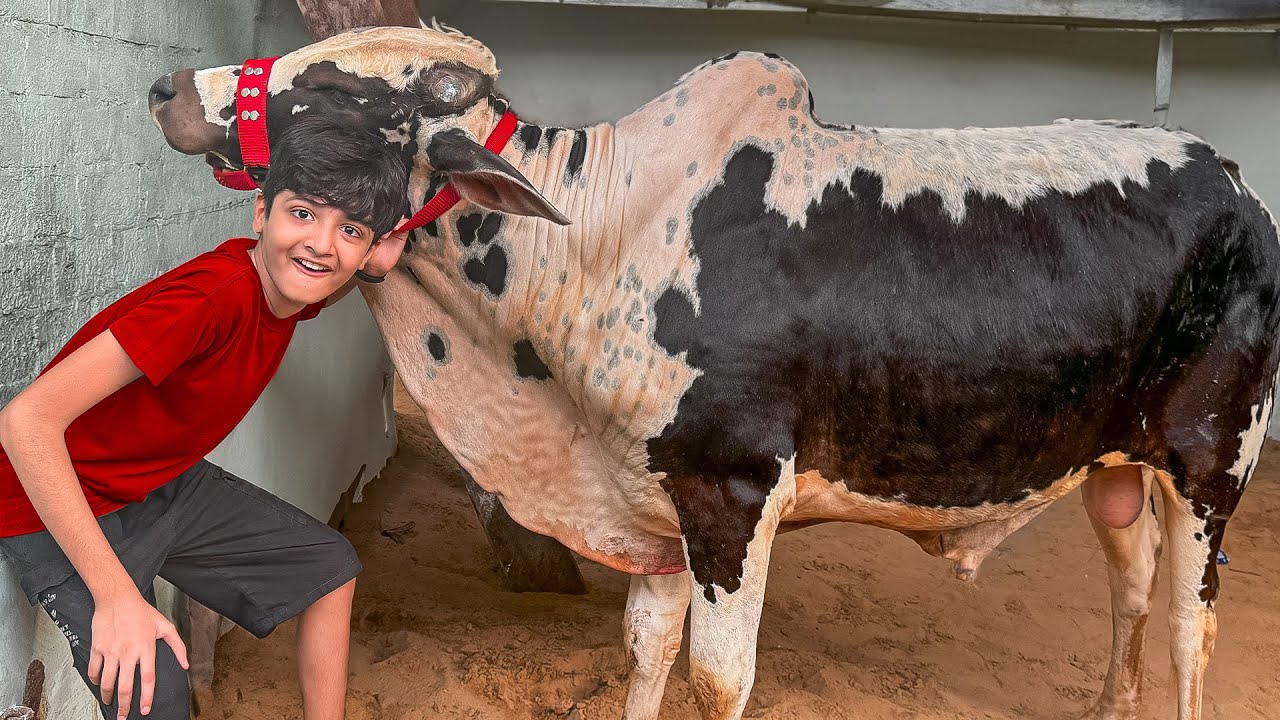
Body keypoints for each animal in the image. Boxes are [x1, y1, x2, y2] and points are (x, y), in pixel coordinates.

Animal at [148, 24, 1280, 720]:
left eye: (333, 93)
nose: (165, 87)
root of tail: (1228, 177)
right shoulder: (652, 507)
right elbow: (645, 650)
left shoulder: (733, 493)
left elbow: (715, 679)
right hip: (1115, 467)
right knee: (1131, 588)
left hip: (1210, 461)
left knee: (1191, 629)